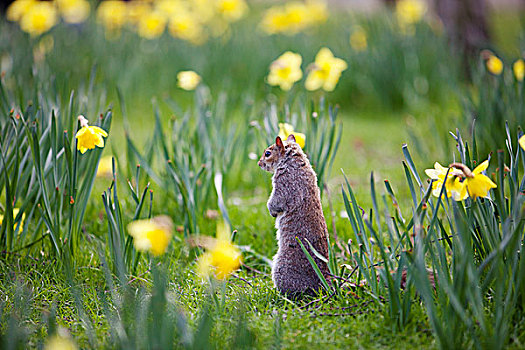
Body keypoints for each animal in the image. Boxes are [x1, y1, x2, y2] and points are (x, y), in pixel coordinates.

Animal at [256, 134, 328, 296]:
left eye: (267, 153)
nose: (259, 163)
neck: (295, 161)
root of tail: (323, 285)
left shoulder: (284, 185)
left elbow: (276, 201)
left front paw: (271, 211)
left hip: (282, 269)